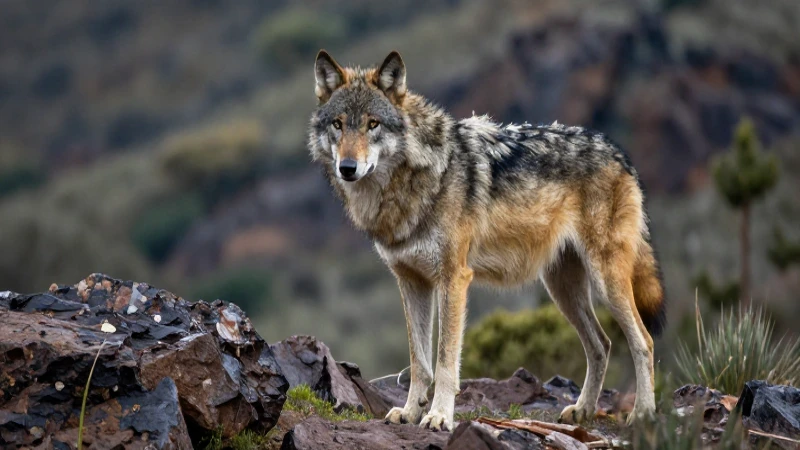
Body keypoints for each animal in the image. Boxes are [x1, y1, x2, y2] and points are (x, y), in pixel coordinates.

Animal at [308, 50, 666, 431]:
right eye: (339, 125)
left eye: (373, 124)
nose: (347, 168)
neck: (413, 180)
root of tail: (618, 152)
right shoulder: (412, 282)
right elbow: (419, 362)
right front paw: (409, 411)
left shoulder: (454, 279)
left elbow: (444, 362)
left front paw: (438, 416)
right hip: (562, 289)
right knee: (602, 344)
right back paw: (582, 410)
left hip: (605, 281)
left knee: (643, 341)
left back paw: (643, 413)